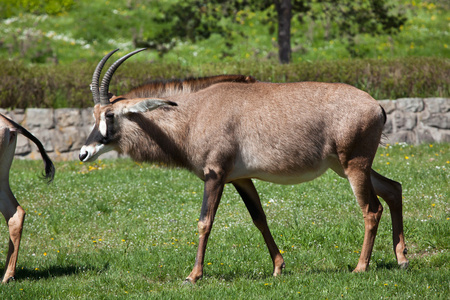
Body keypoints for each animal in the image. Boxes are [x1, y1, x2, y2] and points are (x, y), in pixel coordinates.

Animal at [80, 49, 408, 284]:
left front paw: (193, 276)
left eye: (109, 115)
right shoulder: (240, 178)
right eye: (94, 113)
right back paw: (402, 258)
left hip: (354, 165)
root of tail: (376, 106)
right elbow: (259, 218)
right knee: (394, 188)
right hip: (345, 167)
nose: (84, 152)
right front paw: (278, 267)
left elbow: (205, 222)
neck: (193, 113)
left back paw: (361, 267)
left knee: (371, 209)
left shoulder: (214, 175)